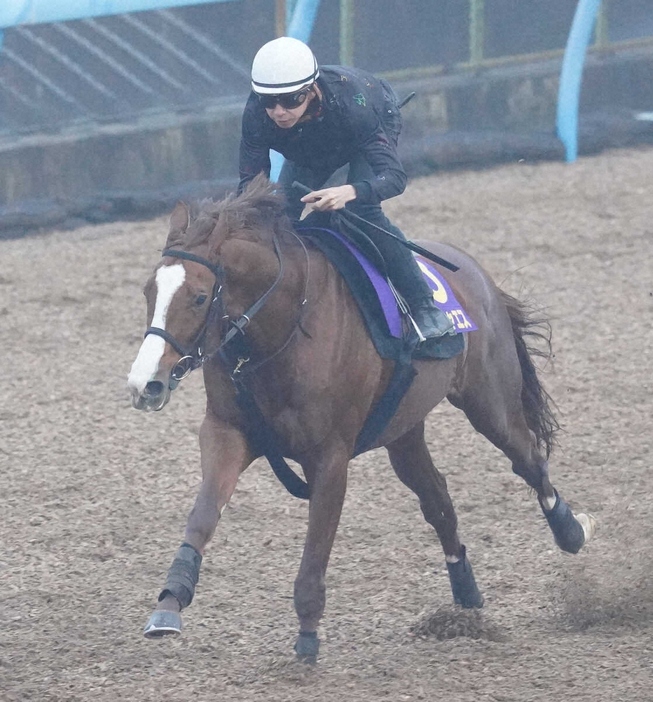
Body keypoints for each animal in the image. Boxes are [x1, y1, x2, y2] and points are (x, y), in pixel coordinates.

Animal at [127, 173, 596, 664]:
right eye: (148, 292)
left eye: (200, 297)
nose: (145, 383)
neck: (282, 329)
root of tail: (475, 273)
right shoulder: (226, 432)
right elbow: (203, 515)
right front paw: (169, 604)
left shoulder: (330, 458)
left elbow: (316, 549)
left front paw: (307, 638)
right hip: (404, 431)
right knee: (438, 500)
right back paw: (465, 596)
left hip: (490, 403)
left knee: (528, 460)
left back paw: (571, 531)